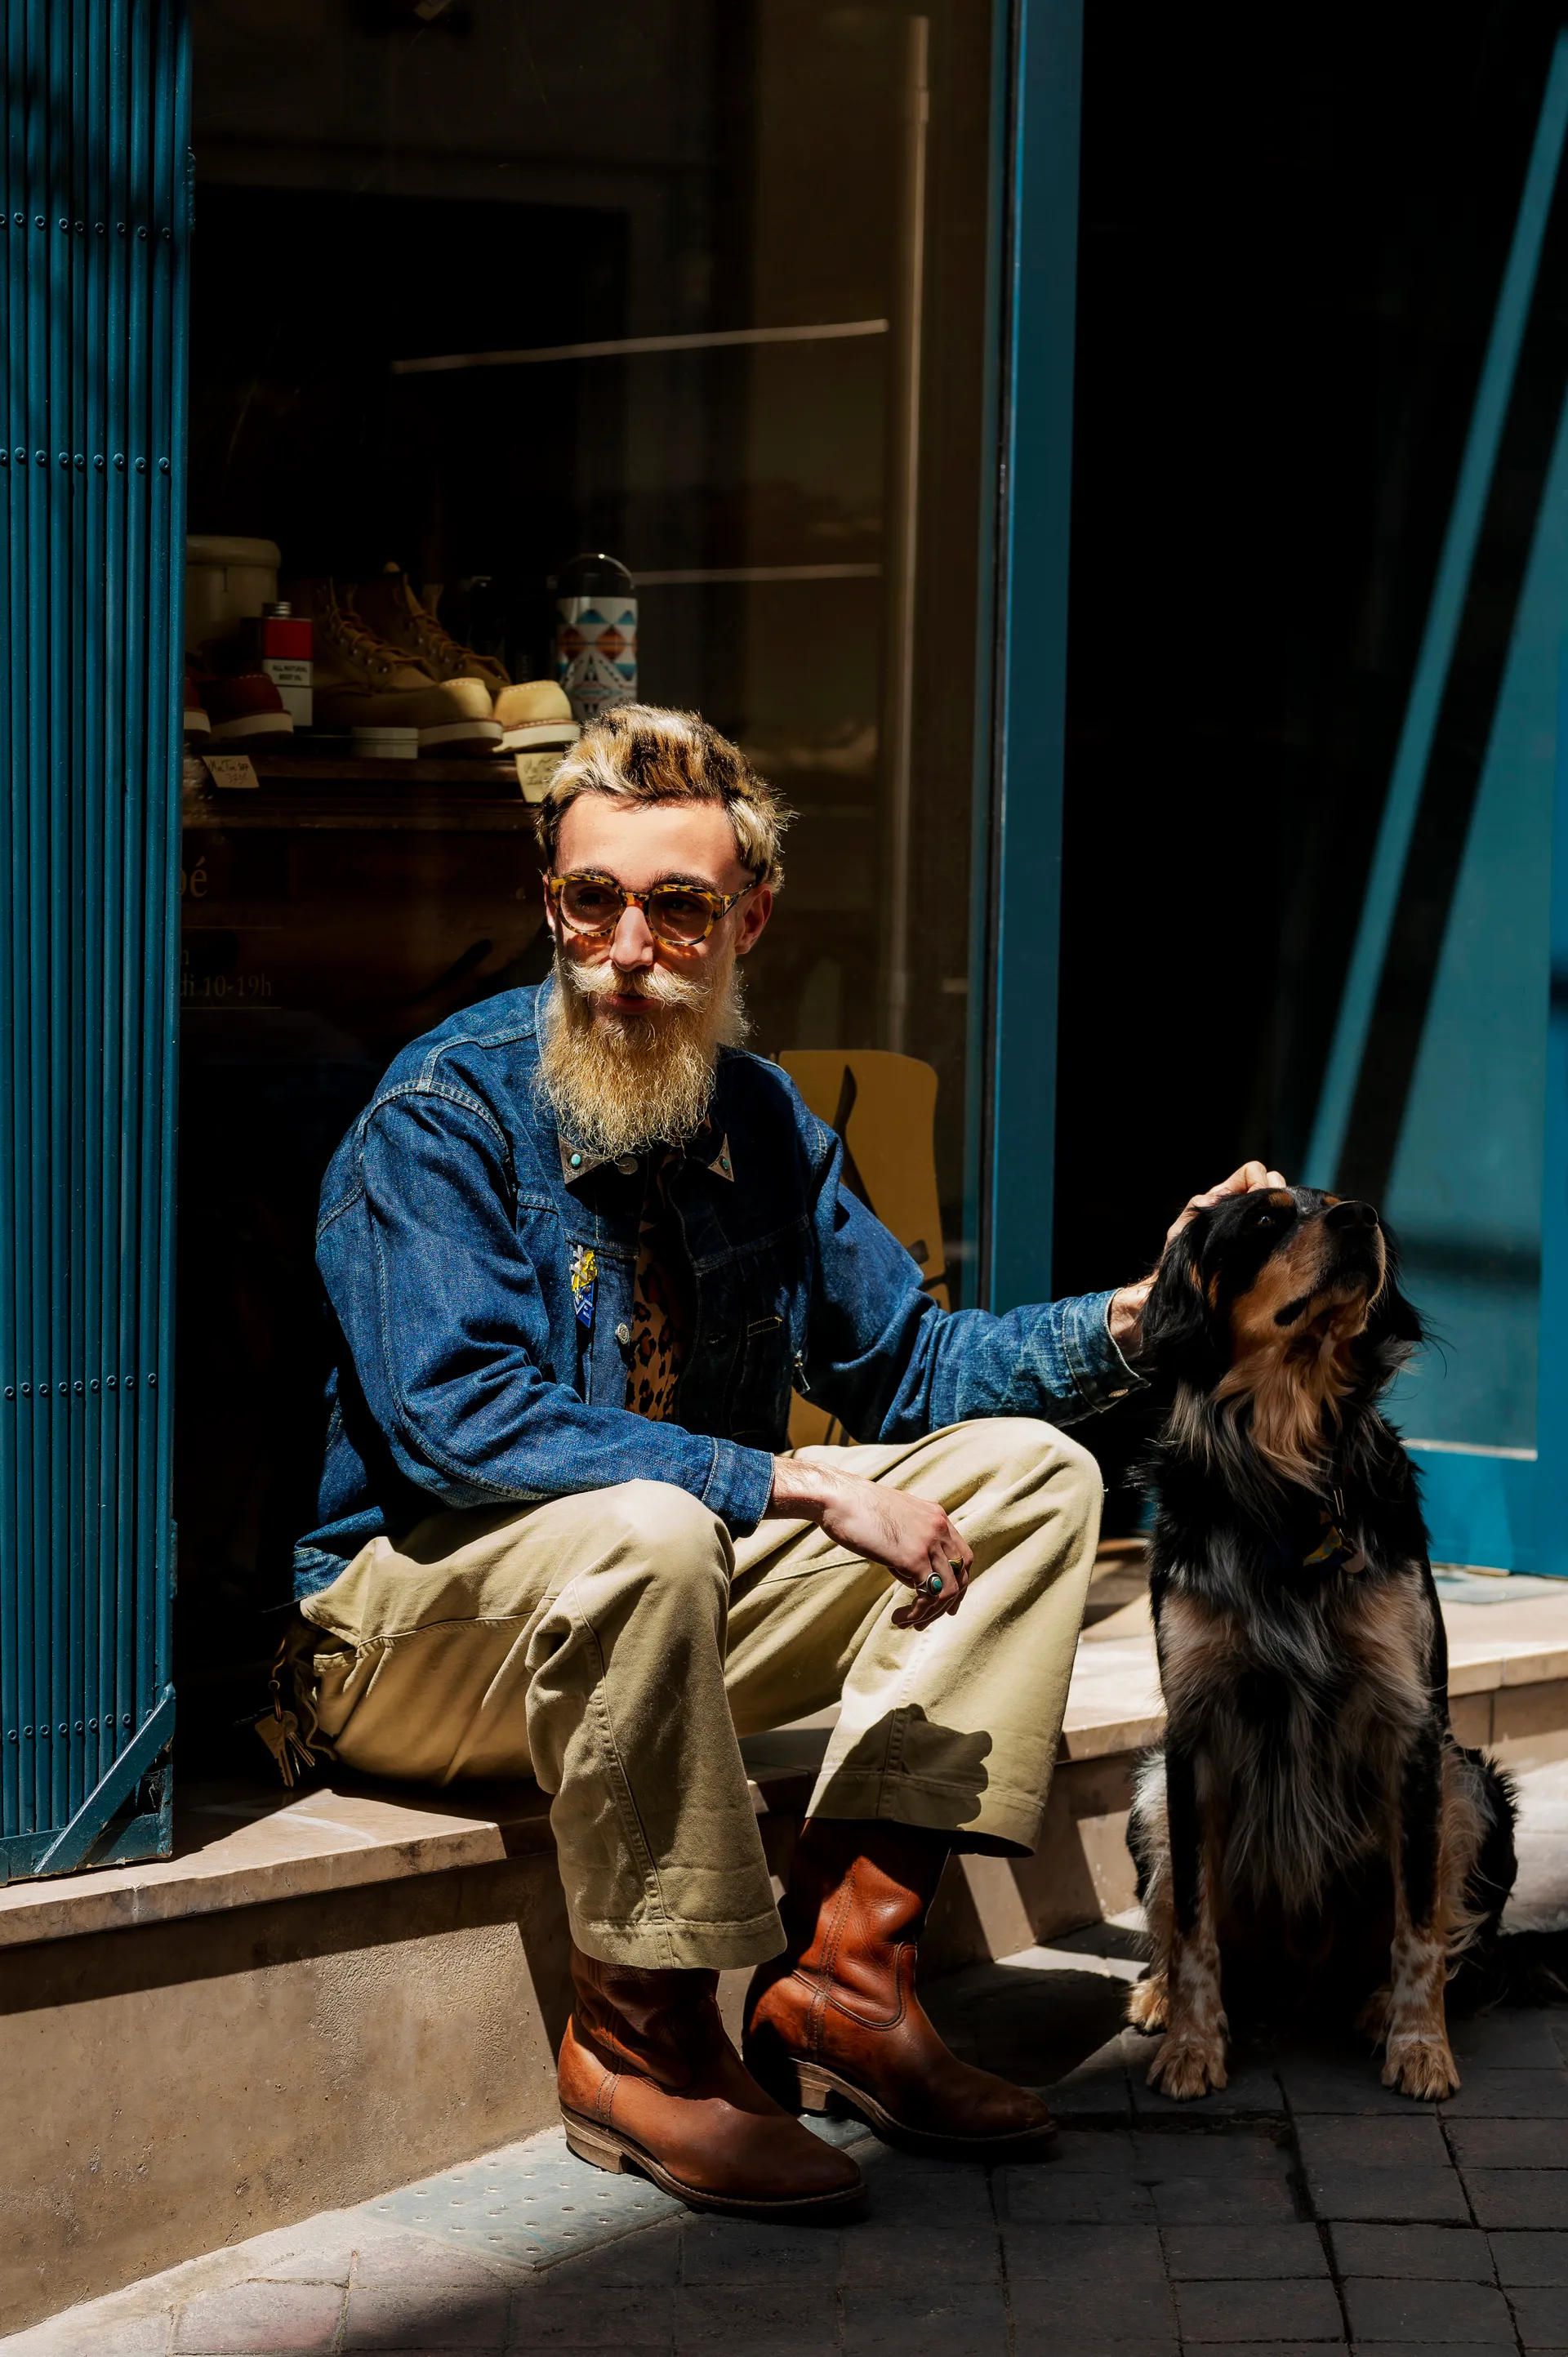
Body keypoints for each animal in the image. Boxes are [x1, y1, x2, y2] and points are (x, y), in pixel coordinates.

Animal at [1127, 1187, 1518, 2111]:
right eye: (1265, 1220)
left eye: (1339, 1203)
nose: (1361, 1217)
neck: (1287, 1469)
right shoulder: (1191, 1733)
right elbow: (1191, 1920)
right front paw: (1193, 2042)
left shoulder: (1412, 1728)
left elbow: (1420, 1924)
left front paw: (1420, 2046)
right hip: (1151, 1791)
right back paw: (1158, 1994)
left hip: (1473, 1785)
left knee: (1447, 1928)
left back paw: (1377, 2006)